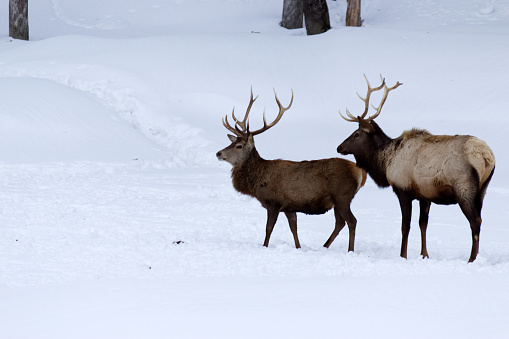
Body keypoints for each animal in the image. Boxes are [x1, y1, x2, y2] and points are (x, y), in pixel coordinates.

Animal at [215, 89, 366, 251]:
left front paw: (265, 246)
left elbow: (268, 228)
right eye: (232, 143)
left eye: (239, 146)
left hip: (342, 196)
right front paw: (298, 247)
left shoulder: (273, 202)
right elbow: (294, 228)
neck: (257, 181)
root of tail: (360, 173)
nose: (218, 153)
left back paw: (350, 250)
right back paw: (324, 246)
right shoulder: (289, 206)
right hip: (338, 201)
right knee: (340, 223)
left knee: (351, 221)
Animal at [336, 75, 494, 262]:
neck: (385, 162)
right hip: (482, 190)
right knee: (479, 219)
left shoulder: (403, 190)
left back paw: (472, 259)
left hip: (464, 188)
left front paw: (402, 256)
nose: (339, 147)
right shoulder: (425, 195)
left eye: (356, 134)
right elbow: (423, 224)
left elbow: (406, 226)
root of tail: (487, 156)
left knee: (475, 221)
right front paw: (424, 254)